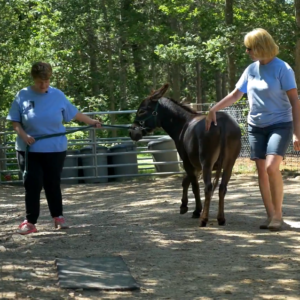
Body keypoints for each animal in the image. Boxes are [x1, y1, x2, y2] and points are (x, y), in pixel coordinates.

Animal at [129, 83, 241, 226]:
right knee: (222, 188)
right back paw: (221, 218)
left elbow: (194, 185)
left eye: (142, 111)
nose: (131, 133)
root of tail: (223, 122)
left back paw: (204, 219)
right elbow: (186, 181)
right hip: (229, 164)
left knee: (208, 187)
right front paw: (184, 206)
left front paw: (196, 210)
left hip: (207, 163)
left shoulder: (187, 161)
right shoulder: (195, 165)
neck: (183, 123)